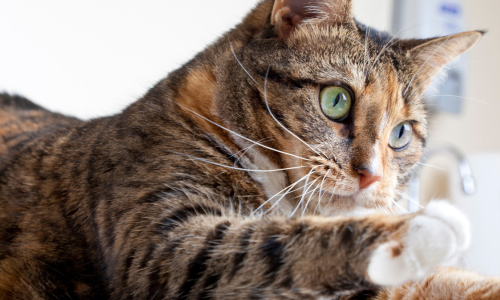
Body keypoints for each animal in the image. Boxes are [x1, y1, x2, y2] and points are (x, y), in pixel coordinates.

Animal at [0, 0, 500, 298]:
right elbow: (268, 242)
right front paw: (422, 228)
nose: (372, 174)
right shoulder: (158, 242)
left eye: (401, 134)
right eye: (336, 100)